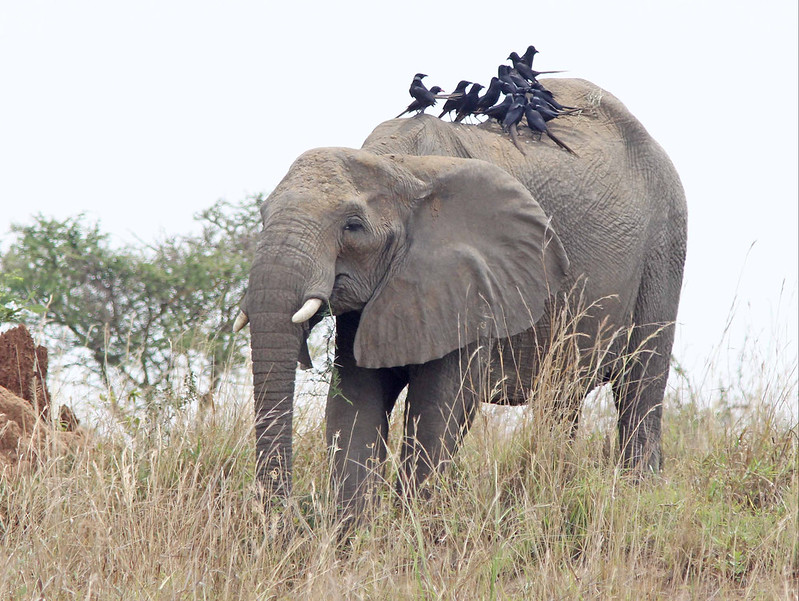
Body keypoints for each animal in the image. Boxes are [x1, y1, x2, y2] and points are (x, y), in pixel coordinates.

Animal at [236, 78, 688, 510]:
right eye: (262, 215)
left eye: (353, 226)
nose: (277, 511)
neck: (400, 168)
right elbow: (354, 400)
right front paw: (354, 530)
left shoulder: (473, 283)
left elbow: (440, 405)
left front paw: (411, 525)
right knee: (562, 397)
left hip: (665, 244)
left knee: (639, 387)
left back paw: (636, 494)